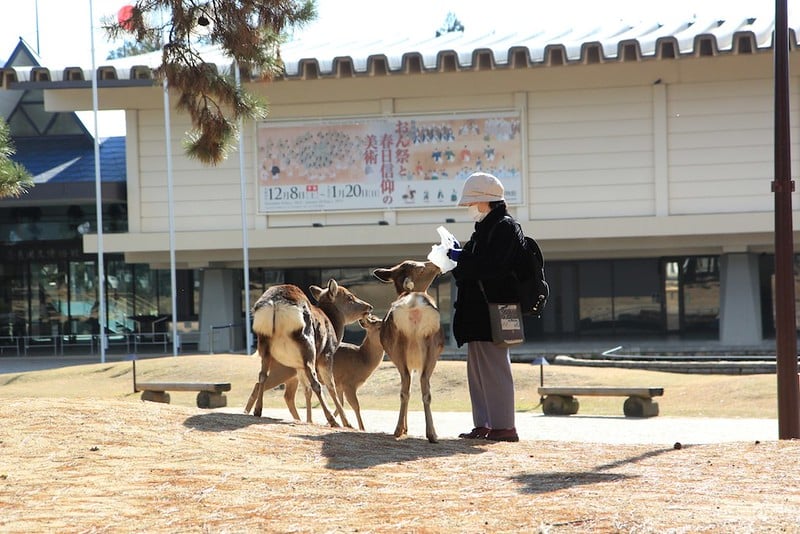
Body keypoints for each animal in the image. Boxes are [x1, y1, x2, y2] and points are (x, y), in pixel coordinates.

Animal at [245, 282, 374, 430]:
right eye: (349, 297)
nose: (369, 307)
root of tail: (275, 304)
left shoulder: (298, 365)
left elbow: (307, 391)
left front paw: (309, 420)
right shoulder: (326, 355)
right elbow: (331, 387)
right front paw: (347, 423)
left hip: (264, 344)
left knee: (262, 376)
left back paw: (257, 410)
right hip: (307, 345)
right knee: (316, 384)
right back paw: (332, 420)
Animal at [374, 260, 444, 444]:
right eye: (421, 268)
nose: (436, 265)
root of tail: (413, 305)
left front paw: (406, 428)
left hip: (400, 348)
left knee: (407, 387)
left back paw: (405, 430)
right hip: (430, 347)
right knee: (421, 386)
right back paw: (428, 434)